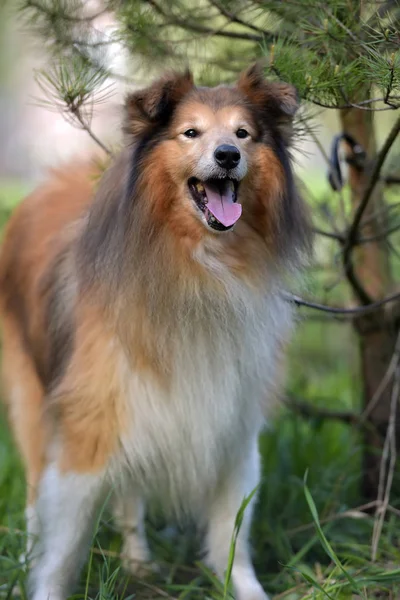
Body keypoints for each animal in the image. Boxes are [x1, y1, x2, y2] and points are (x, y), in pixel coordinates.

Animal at [0, 65, 310, 600]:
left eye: (243, 134)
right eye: (191, 132)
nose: (227, 156)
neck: (199, 271)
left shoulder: (230, 423)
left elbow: (231, 531)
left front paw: (244, 588)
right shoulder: (89, 428)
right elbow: (63, 546)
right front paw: (43, 588)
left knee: (129, 497)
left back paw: (138, 562)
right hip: (34, 402)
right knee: (36, 502)